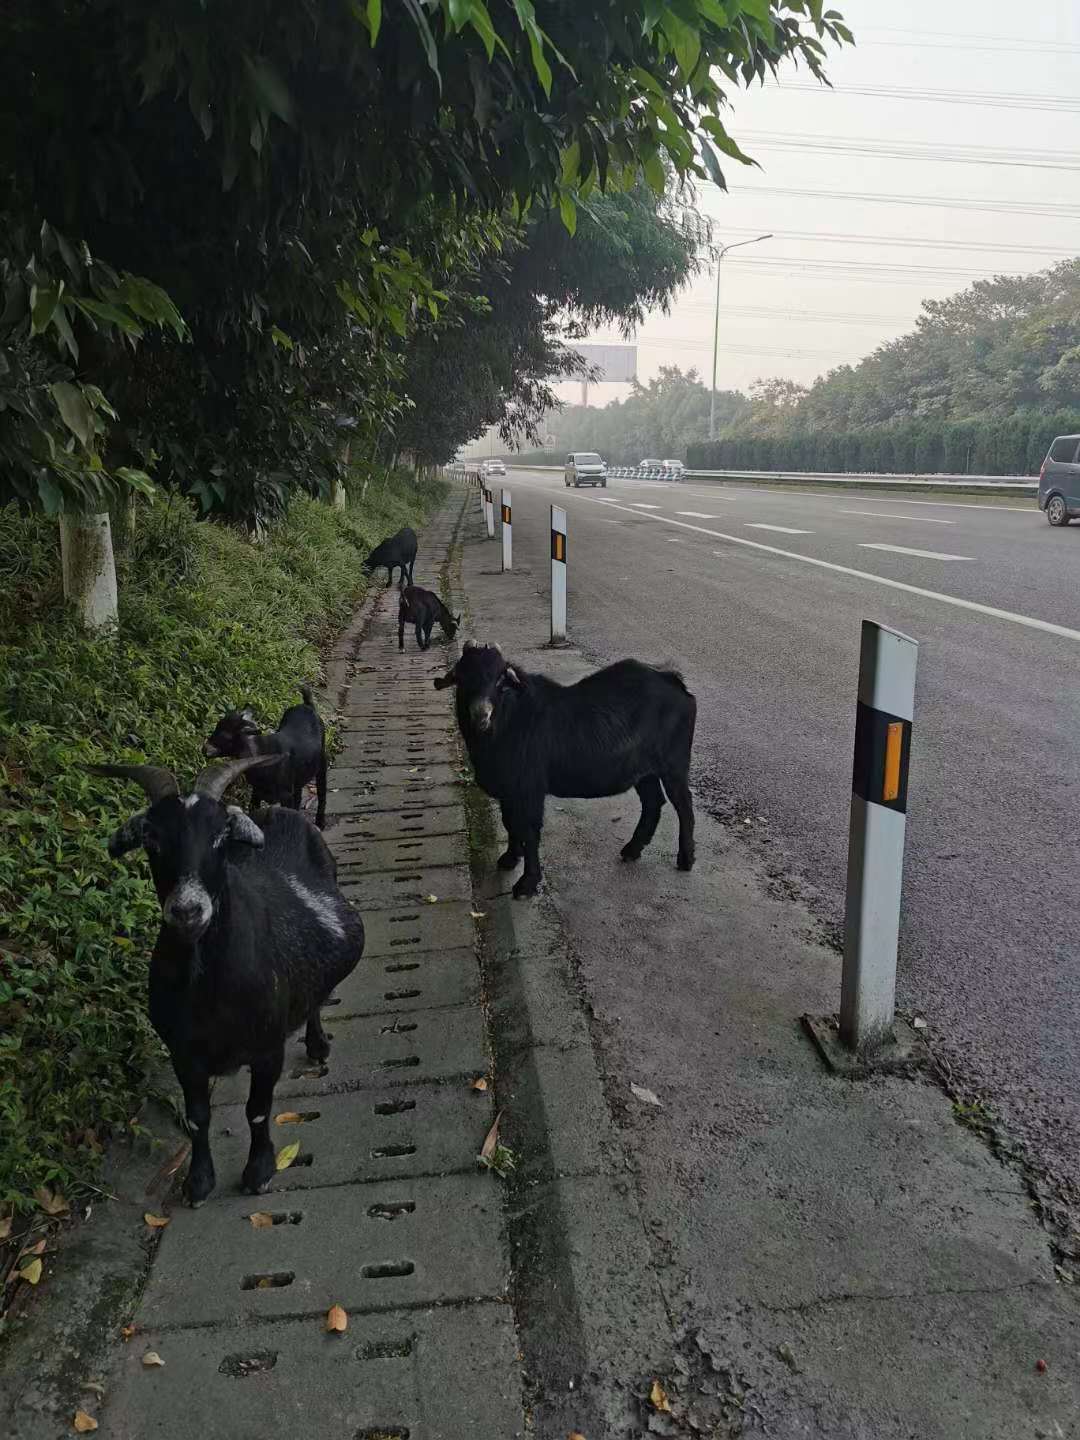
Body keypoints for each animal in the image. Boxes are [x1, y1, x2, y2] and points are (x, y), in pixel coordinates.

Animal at [92, 760, 364, 1209]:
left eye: (220, 835)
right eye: (151, 837)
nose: (187, 910)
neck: (209, 990)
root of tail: (278, 811)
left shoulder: (267, 1048)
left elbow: (258, 1109)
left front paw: (259, 1171)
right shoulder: (183, 1055)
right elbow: (197, 1117)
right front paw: (198, 1182)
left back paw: (317, 1045)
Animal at [203, 688, 328, 835]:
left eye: (225, 736)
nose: (204, 749)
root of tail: (308, 705)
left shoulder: (285, 796)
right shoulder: (257, 793)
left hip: (322, 763)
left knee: (322, 792)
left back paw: (320, 822)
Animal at [434, 645, 696, 892]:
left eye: (500, 680)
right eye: (462, 677)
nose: (482, 716)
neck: (509, 721)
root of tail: (673, 680)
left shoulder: (529, 788)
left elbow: (528, 830)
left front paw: (527, 882)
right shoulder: (509, 790)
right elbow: (509, 822)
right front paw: (509, 858)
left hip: (674, 764)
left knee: (683, 805)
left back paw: (686, 858)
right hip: (643, 771)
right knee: (653, 802)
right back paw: (632, 849)